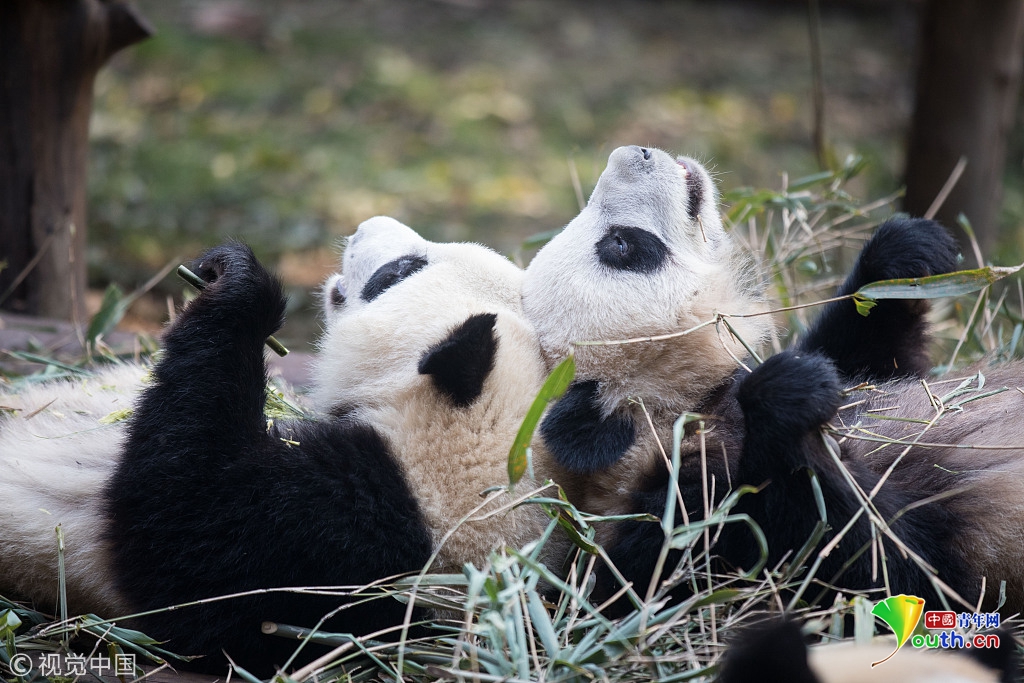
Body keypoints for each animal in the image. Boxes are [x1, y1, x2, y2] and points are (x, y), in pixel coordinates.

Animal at [524, 144, 1019, 614]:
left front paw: (907, 251)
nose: (632, 153)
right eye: (622, 246)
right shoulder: (690, 516)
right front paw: (788, 394)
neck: (685, 404)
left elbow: (872, 357)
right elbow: (876, 565)